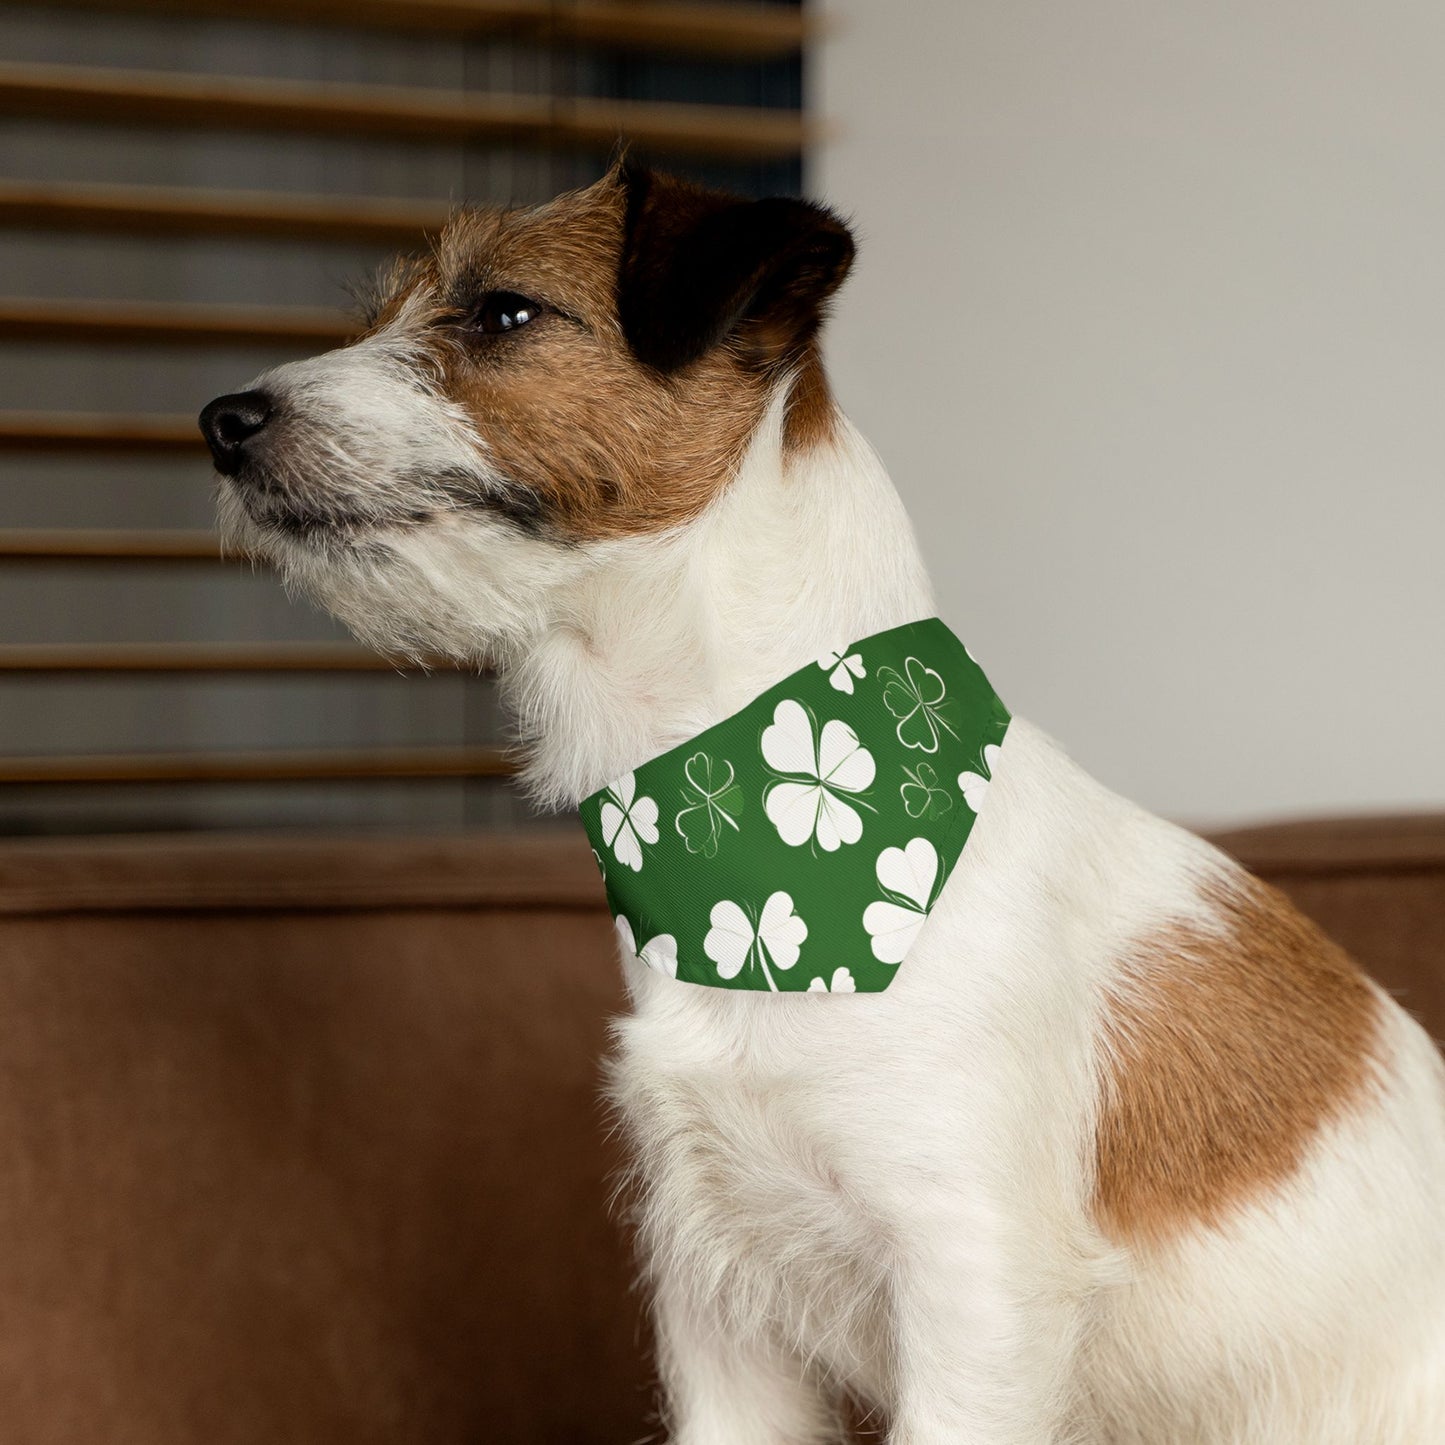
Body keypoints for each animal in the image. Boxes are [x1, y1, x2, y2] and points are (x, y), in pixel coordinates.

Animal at [200, 164, 1445, 1439]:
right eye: (381, 314)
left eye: (503, 311)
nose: (222, 421)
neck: (751, 854)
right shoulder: (716, 1304)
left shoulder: (972, 1291)